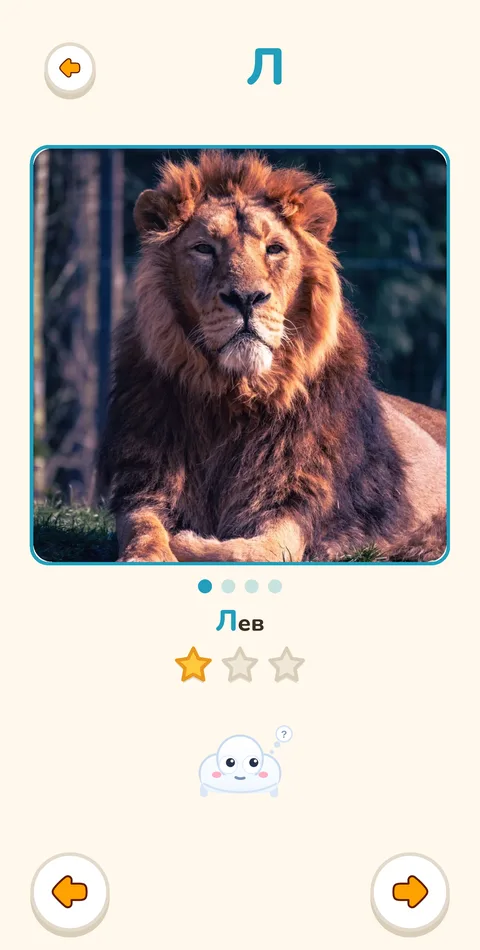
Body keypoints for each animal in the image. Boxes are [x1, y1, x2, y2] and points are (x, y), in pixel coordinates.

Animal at [98, 151, 447, 563]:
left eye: (275, 248)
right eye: (204, 249)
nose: (246, 298)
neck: (233, 399)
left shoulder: (294, 503)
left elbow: (248, 552)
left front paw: (185, 541)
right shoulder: (146, 483)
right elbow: (143, 530)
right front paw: (152, 551)